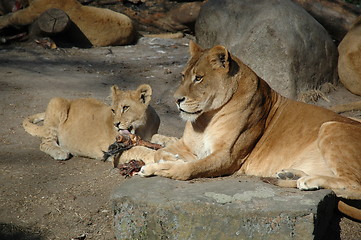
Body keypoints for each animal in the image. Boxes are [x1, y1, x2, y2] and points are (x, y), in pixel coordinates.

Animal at [22, 84, 158, 161]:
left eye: (125, 107)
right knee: (45, 143)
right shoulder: (116, 150)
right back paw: (60, 152)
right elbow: (142, 151)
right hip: (57, 101)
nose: (115, 124)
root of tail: (72, 100)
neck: (142, 128)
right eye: (113, 110)